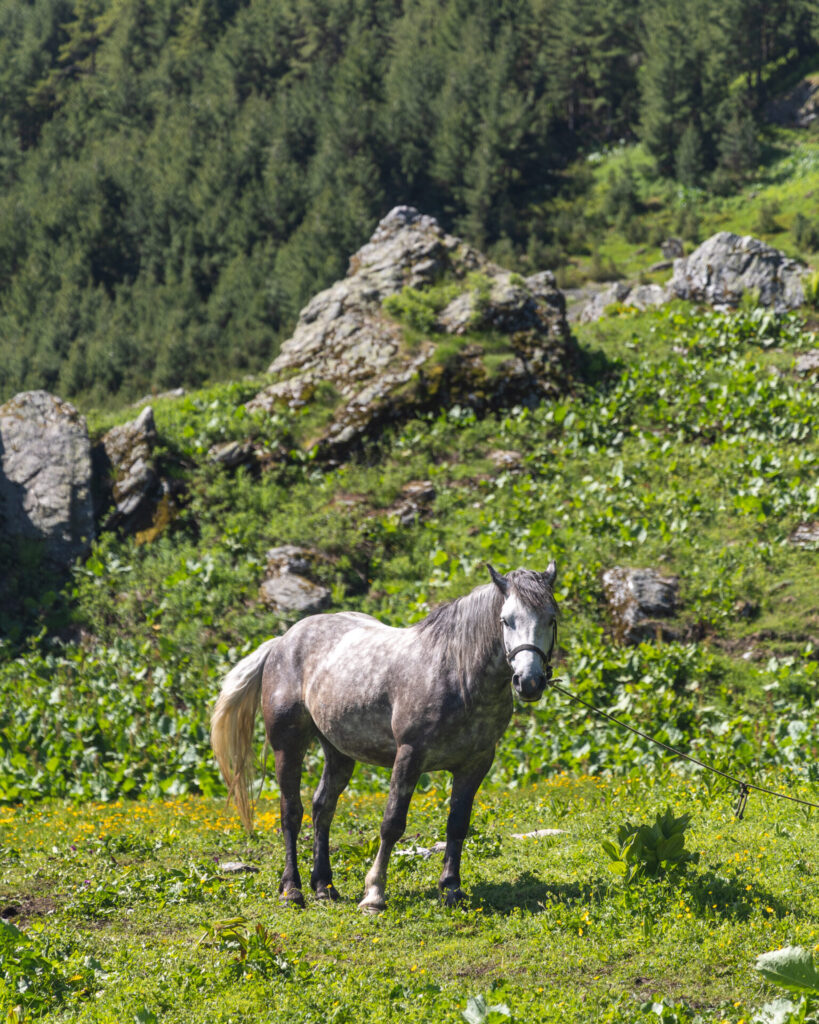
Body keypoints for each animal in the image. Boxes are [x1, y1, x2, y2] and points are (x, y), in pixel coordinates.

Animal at [210, 562, 558, 913]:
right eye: (506, 620)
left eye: (551, 618)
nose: (529, 682)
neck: (456, 674)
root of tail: (283, 640)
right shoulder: (409, 756)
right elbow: (392, 823)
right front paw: (374, 894)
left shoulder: (475, 764)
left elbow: (457, 824)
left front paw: (451, 889)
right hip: (288, 746)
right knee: (291, 813)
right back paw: (292, 890)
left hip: (338, 752)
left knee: (323, 807)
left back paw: (324, 886)